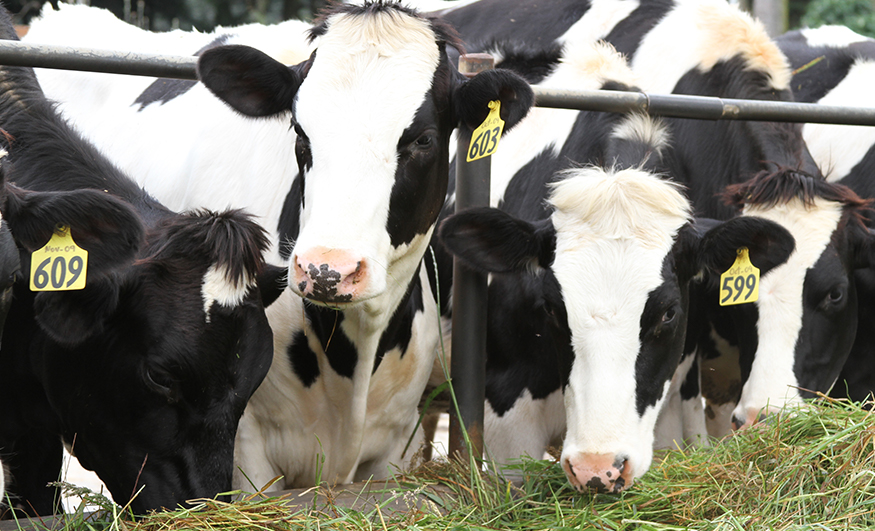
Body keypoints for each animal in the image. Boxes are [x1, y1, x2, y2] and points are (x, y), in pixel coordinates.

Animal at [25, 2, 532, 490]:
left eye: (424, 139)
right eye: (301, 134)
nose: (327, 270)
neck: (353, 365)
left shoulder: (396, 447)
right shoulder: (245, 449)